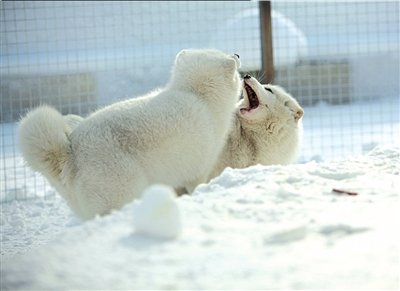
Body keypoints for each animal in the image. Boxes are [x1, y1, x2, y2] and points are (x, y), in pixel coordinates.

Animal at [18, 49, 241, 220]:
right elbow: (196, 186)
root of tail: (70, 152)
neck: (197, 96)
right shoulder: (197, 171)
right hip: (123, 190)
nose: (237, 54)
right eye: (225, 53)